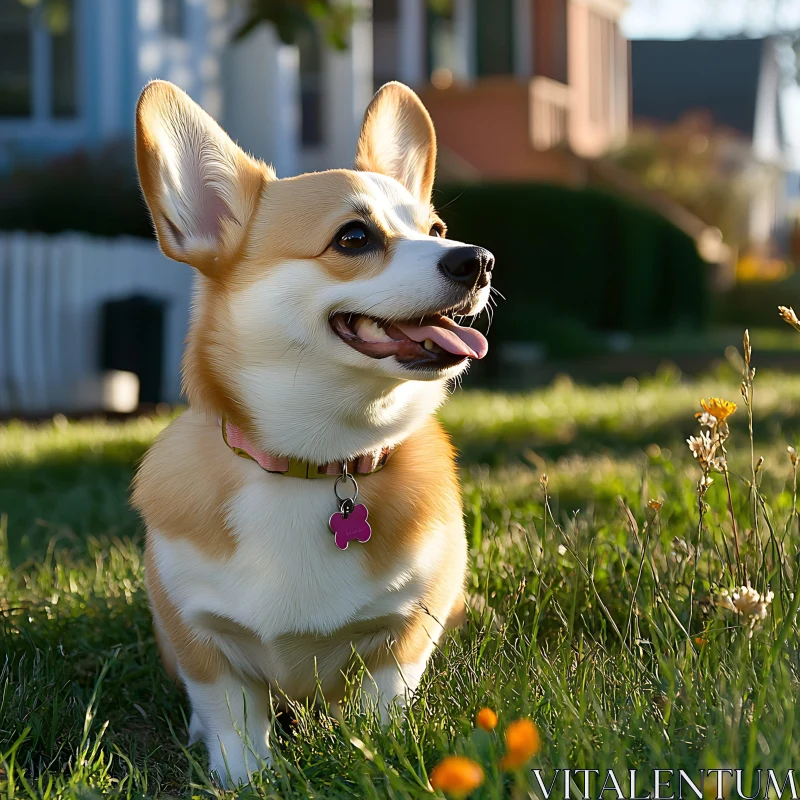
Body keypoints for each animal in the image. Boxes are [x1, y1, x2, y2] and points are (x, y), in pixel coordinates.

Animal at [132, 78, 494, 784]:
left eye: (436, 230)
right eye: (353, 238)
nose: (480, 260)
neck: (319, 463)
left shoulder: (406, 628)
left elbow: (383, 698)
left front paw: (377, 749)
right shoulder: (198, 636)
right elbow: (232, 716)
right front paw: (244, 778)